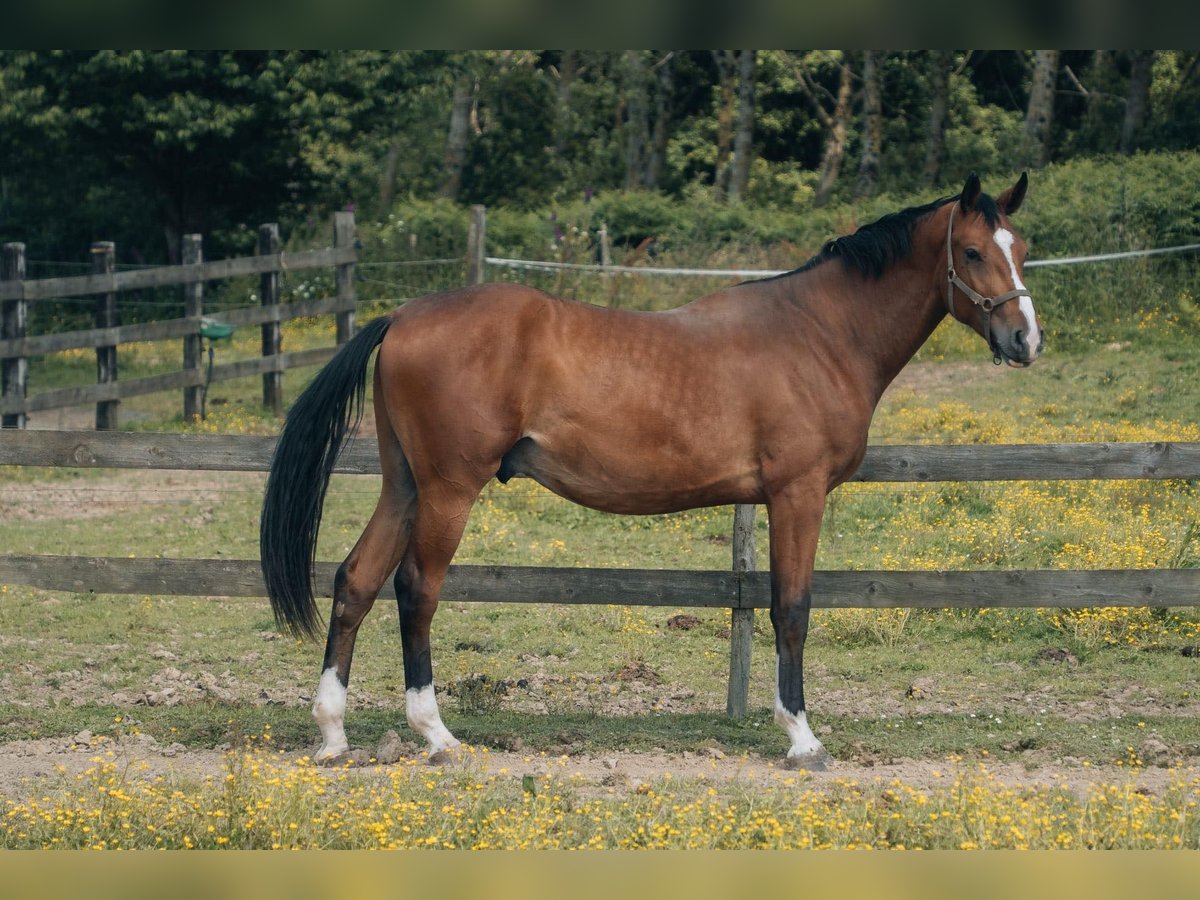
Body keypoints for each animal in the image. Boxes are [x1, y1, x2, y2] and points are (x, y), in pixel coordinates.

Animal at [262, 172, 1041, 772]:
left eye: (1023, 250)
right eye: (972, 251)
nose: (1025, 340)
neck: (819, 332)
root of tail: (401, 316)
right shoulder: (797, 495)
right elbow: (791, 610)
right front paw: (802, 739)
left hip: (405, 486)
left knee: (355, 581)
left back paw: (332, 735)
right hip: (449, 490)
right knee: (416, 590)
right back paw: (437, 735)